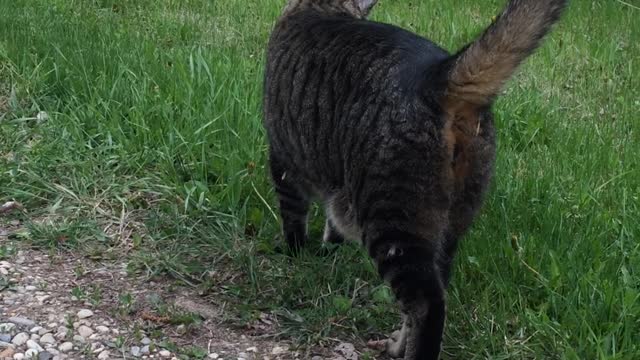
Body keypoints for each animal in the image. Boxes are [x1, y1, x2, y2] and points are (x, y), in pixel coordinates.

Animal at [262, 1, 568, 358]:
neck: (321, 8)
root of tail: (436, 73)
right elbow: (332, 222)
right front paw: (329, 247)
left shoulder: (283, 159)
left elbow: (293, 217)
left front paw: (294, 251)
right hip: (447, 227)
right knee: (434, 292)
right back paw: (397, 344)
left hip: (392, 221)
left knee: (427, 303)